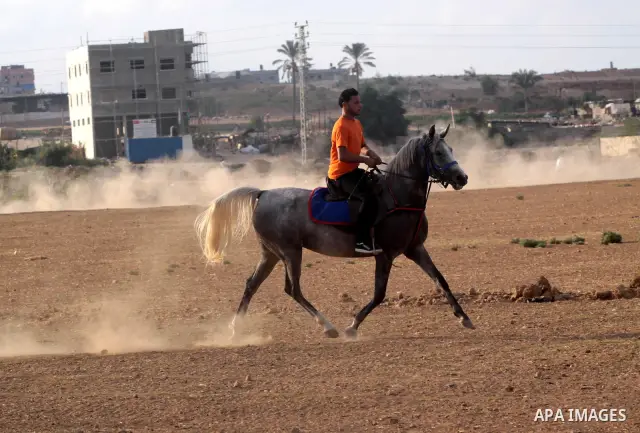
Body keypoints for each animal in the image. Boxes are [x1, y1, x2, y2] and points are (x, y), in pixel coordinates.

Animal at [194, 124, 475, 340]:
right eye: (438, 152)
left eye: (451, 150)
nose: (462, 178)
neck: (398, 197)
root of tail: (262, 193)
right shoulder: (385, 255)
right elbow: (379, 294)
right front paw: (352, 327)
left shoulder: (415, 249)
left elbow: (441, 280)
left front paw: (464, 318)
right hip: (290, 252)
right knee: (293, 289)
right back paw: (328, 327)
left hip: (271, 253)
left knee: (252, 284)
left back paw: (235, 329)